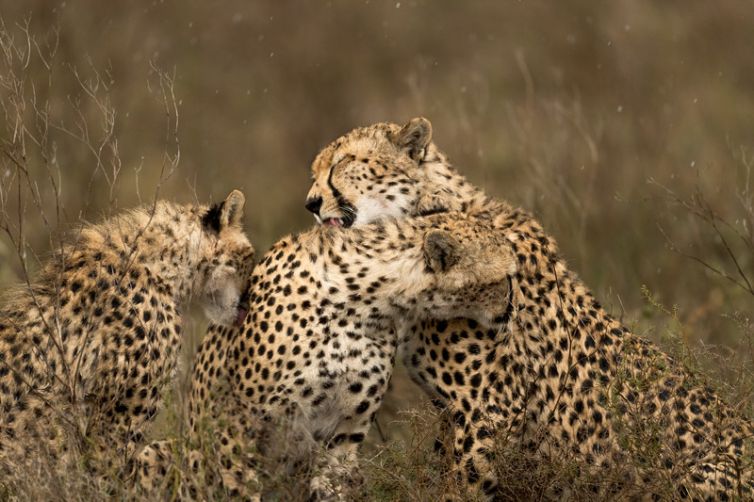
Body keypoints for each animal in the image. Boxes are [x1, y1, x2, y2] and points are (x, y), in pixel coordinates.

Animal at [133, 210, 522, 500]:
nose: (513, 309)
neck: (364, 298)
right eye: (507, 277)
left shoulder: (344, 432)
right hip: (160, 452)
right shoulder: (237, 424)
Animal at [303, 117, 754, 500]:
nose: (310, 203)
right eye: (315, 172)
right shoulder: (452, 413)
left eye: (342, 163)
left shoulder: (488, 410)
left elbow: (463, 487)